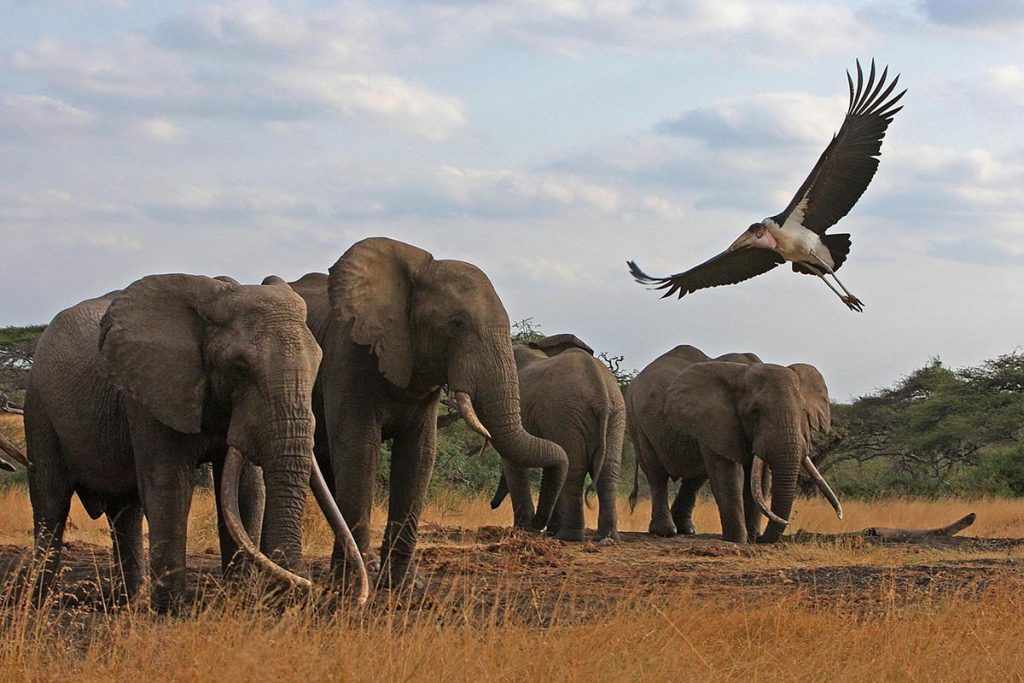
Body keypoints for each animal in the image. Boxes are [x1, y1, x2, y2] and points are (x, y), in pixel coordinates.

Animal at [24, 273, 364, 610]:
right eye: (239, 367)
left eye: (318, 363)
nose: (313, 590)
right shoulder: (153, 392)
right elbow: (171, 488)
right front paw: (171, 611)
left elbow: (247, 492)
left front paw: (238, 602)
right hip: (38, 408)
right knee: (51, 500)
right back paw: (39, 603)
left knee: (126, 511)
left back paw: (127, 604)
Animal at [273, 237, 568, 590]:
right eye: (456, 324)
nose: (536, 526)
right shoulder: (348, 355)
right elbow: (360, 451)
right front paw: (357, 584)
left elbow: (419, 455)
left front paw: (405, 585)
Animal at [489, 334, 625, 542]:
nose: (491, 505)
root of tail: (601, 392)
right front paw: (546, 530)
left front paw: (525, 529)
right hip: (615, 415)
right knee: (608, 471)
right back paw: (605, 538)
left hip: (566, 413)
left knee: (575, 469)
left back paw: (568, 537)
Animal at [626, 345, 842, 544]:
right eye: (755, 412)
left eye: (803, 412)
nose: (761, 539)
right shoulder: (717, 419)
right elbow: (729, 475)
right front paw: (737, 540)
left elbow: (761, 480)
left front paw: (751, 539)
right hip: (637, 420)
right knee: (656, 474)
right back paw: (666, 531)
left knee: (695, 479)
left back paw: (687, 530)